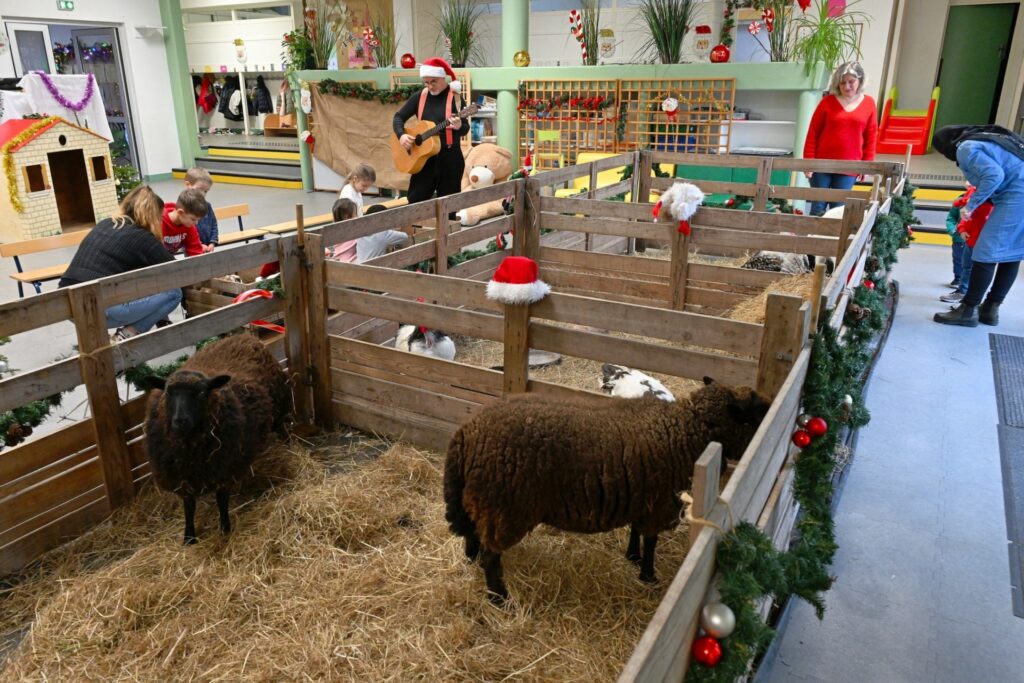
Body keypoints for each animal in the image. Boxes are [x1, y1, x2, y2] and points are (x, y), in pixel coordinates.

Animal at [144, 333, 291, 544]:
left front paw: (225, 529)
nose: (180, 421)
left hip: (280, 408)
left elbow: (222, 501)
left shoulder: (224, 468)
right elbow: (189, 506)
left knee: (283, 430)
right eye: (168, 392)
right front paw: (189, 536)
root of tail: (246, 336)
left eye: (201, 392)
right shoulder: (183, 476)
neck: (190, 447)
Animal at [443, 378, 770, 603]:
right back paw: (500, 598)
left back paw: (472, 561)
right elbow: (651, 541)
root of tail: (466, 433)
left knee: (474, 534)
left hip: (480, 500)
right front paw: (648, 575)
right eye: (756, 412)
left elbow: (637, 531)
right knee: (491, 555)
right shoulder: (660, 502)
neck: (687, 427)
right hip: (503, 506)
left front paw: (632, 557)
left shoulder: (643, 496)